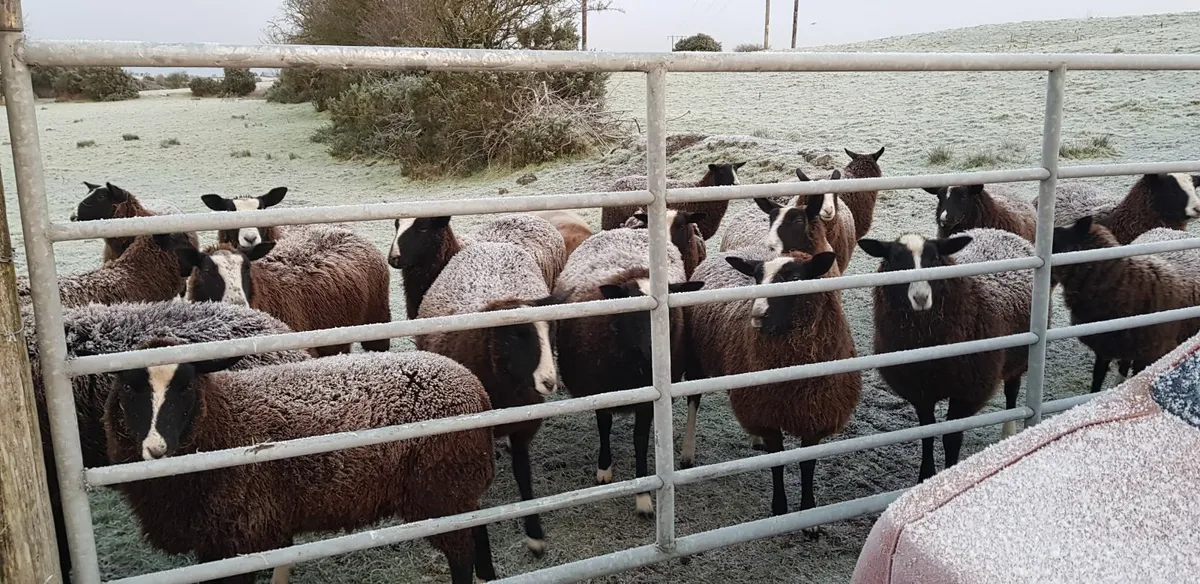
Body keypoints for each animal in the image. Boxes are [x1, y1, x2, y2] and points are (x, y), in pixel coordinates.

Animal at [102, 342, 496, 584]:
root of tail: (475, 387)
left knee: (461, 553)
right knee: (478, 527)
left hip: (440, 490)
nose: (156, 448)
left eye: (185, 386)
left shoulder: (238, 535)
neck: (226, 416)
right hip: (456, 490)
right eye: (127, 387)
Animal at [415, 235, 568, 557]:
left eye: (551, 333)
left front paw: (535, 534)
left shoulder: (524, 424)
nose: (549, 382)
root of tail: (493, 244)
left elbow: (523, 473)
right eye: (516, 336)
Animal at [553, 228, 703, 516]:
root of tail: (627, 229)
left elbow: (640, 440)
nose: (657, 347)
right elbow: (604, 427)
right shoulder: (601, 389)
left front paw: (643, 495)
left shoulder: (649, 401)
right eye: (633, 308)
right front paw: (604, 469)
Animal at [687, 246, 860, 526]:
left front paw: (808, 512)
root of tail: (731, 251)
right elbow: (777, 460)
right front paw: (779, 507)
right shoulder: (768, 413)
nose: (758, 314)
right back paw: (687, 453)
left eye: (795, 278)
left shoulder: (815, 414)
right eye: (757, 278)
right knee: (693, 400)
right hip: (695, 356)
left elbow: (807, 465)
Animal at [857, 228, 1035, 482]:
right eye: (895, 260)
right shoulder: (919, 390)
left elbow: (951, 438)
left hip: (1019, 355)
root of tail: (997, 230)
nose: (921, 297)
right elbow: (928, 434)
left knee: (1012, 392)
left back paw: (1008, 433)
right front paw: (925, 476)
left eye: (935, 258)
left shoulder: (968, 390)